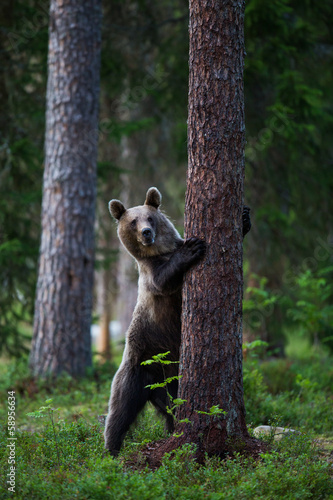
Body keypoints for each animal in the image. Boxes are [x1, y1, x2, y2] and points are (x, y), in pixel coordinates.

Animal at [104, 186, 249, 456]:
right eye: (133, 221)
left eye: (150, 217)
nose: (147, 233)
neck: (159, 252)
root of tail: (156, 384)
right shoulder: (152, 277)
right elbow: (164, 279)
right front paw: (192, 248)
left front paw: (244, 217)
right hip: (137, 367)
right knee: (119, 411)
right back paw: (110, 450)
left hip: (171, 380)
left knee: (172, 408)